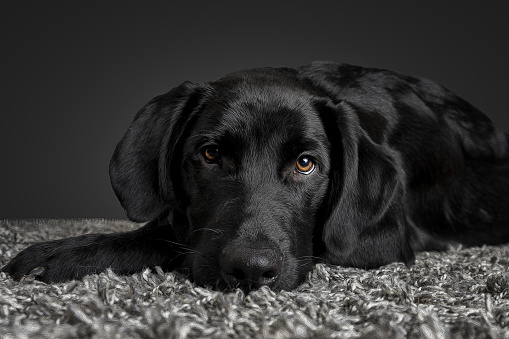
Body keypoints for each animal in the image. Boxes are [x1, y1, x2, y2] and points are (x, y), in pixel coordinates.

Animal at [2, 63, 508, 292]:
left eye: (306, 163)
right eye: (210, 155)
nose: (251, 270)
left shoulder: (381, 243)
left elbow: (168, 236)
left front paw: (66, 253)